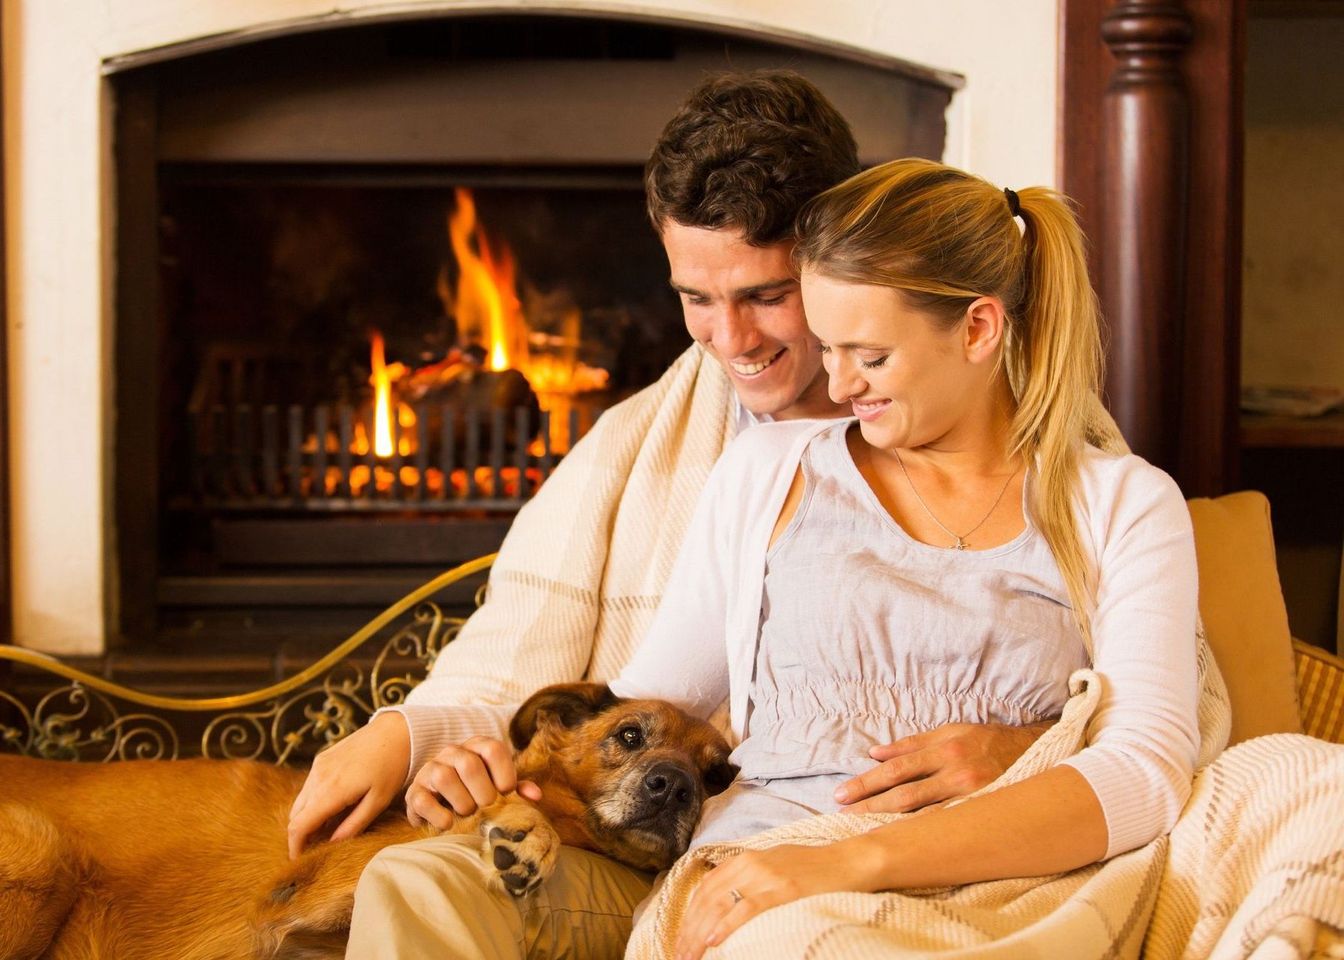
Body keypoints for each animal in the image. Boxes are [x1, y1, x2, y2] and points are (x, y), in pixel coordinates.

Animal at [0, 680, 736, 957]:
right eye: (631, 735)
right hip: (44, 855)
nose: (675, 789)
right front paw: (521, 831)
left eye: (718, 776)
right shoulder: (297, 894)